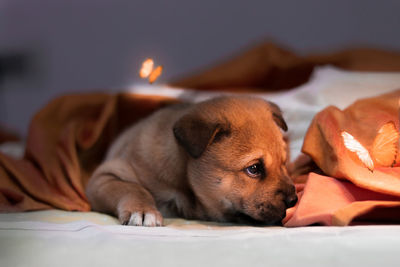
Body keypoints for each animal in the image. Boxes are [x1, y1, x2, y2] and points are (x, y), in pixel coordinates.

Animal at [85, 96, 296, 226]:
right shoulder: (104, 176)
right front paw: (143, 211)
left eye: (284, 163)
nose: (294, 201)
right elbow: (132, 188)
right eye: (254, 168)